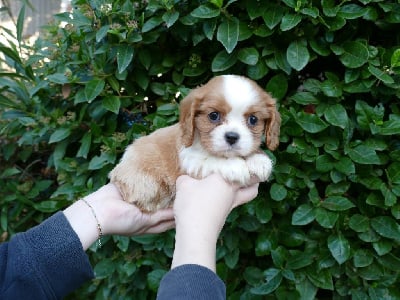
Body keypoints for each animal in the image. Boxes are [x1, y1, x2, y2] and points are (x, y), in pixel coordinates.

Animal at [108, 74, 280, 211]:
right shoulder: (190, 160)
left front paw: (259, 159)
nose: (232, 136)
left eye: (253, 119)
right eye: (213, 116)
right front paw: (234, 166)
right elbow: (211, 160)